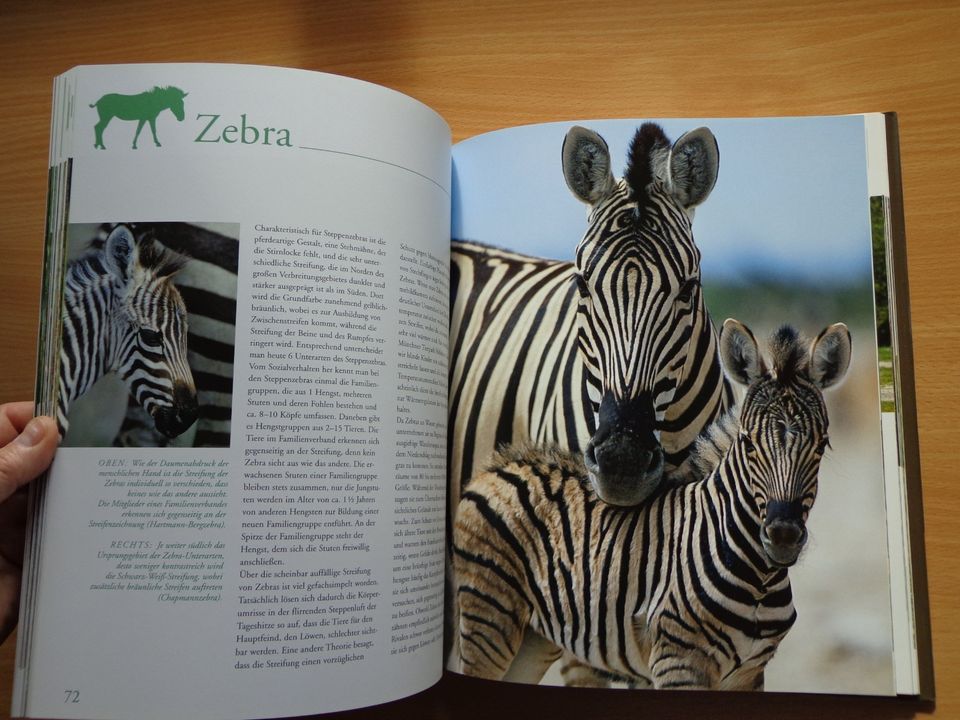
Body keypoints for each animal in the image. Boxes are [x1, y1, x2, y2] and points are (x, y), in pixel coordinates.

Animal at [454, 320, 852, 688]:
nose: (783, 535)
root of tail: (498, 465)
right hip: (490, 619)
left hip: (533, 638)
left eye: (821, 446)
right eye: (748, 444)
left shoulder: (749, 673)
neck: (759, 578)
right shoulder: (679, 663)